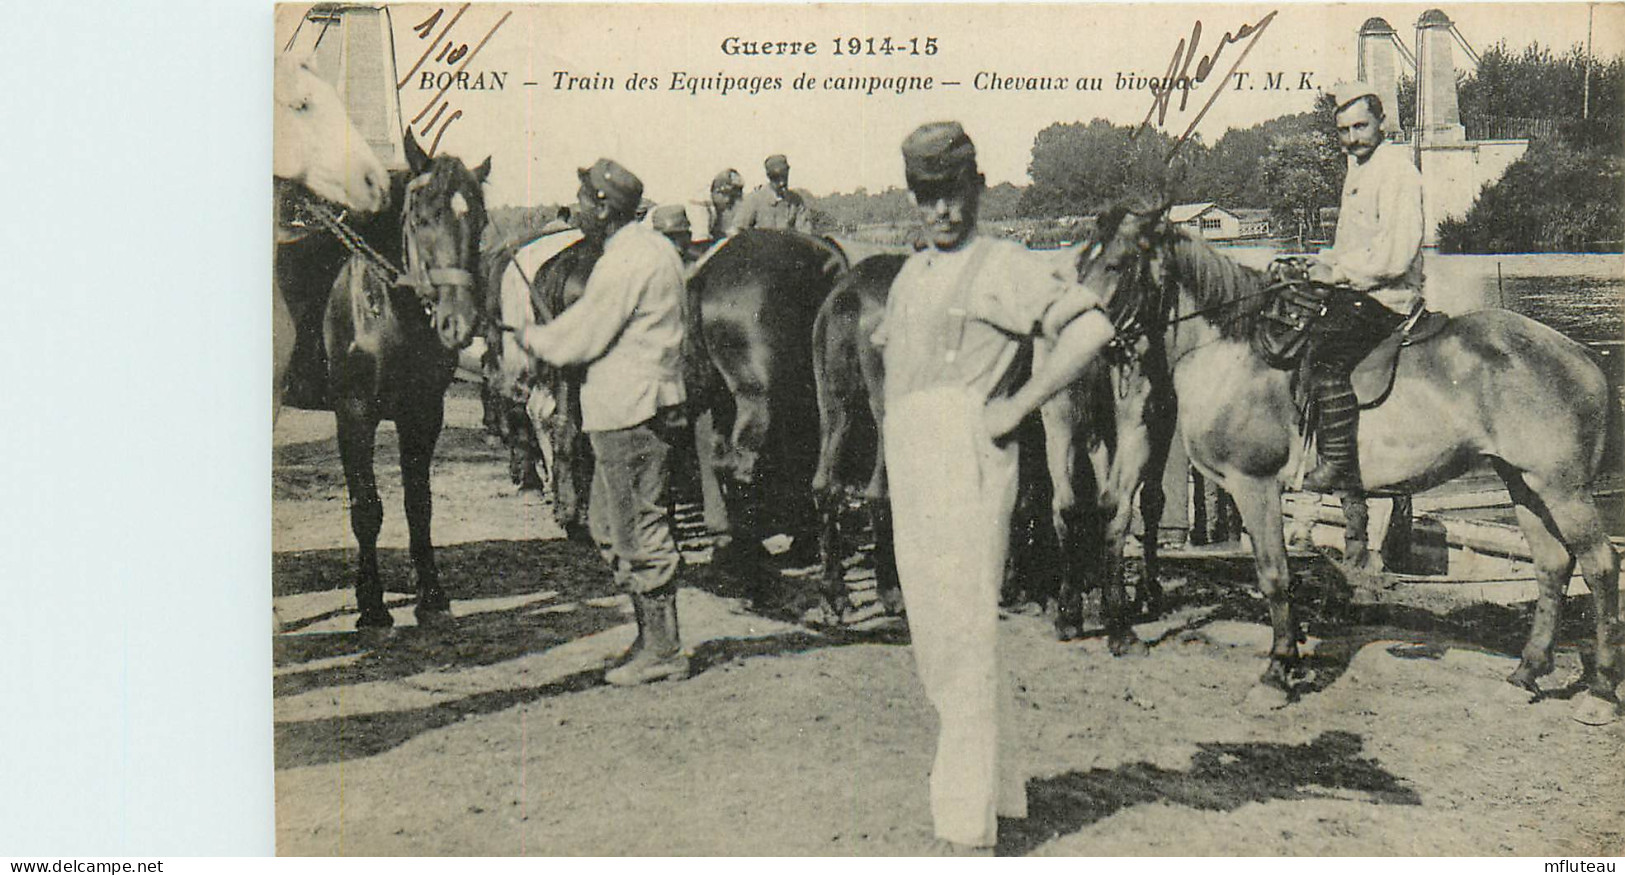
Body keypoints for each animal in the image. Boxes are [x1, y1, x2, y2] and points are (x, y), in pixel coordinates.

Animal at [320, 132, 487, 627]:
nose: (459, 323)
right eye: (421, 217)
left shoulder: (424, 413)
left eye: (482, 221)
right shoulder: (353, 415)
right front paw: (372, 605)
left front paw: (431, 596)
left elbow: (419, 503)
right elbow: (366, 508)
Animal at [1079, 205, 1625, 722]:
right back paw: (1526, 674)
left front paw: (1277, 672)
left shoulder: (1254, 485)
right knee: (1552, 566)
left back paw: (1599, 693)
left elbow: (1274, 575)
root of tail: (1582, 356)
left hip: (1562, 489)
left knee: (1600, 567)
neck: (1235, 351)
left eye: (1117, 264)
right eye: (1081, 264)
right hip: (1523, 483)